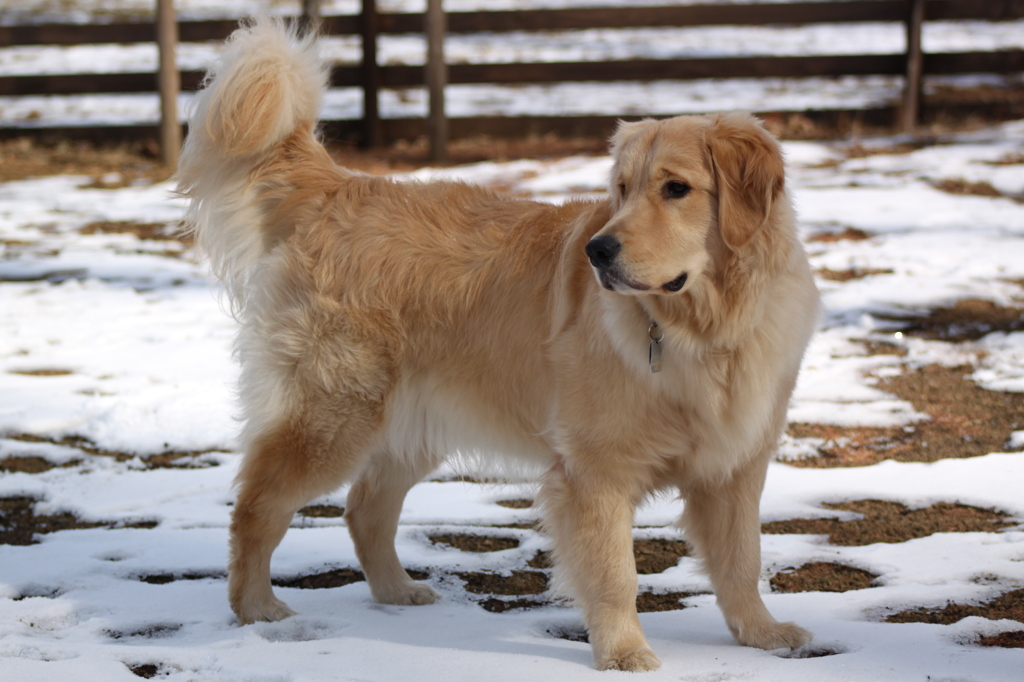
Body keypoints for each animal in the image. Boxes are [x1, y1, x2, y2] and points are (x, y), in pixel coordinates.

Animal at [176, 18, 815, 671]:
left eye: (676, 189)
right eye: (622, 189)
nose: (598, 252)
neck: (704, 328)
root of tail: (344, 188)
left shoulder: (735, 465)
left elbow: (741, 560)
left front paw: (761, 633)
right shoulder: (595, 472)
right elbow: (616, 574)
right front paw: (624, 652)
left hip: (412, 421)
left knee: (364, 507)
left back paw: (396, 591)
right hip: (332, 418)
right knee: (258, 506)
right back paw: (256, 607)